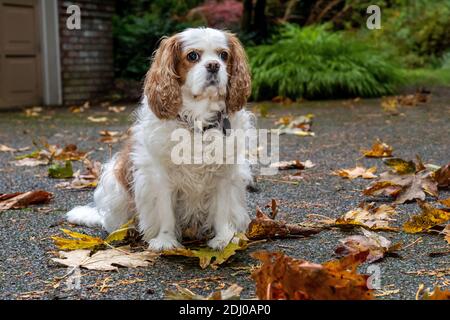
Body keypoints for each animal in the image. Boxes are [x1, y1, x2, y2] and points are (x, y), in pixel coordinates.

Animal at [67, 27, 256, 251]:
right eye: (193, 56)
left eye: (223, 55)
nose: (213, 65)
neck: (197, 121)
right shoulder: (159, 177)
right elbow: (165, 212)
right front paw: (165, 240)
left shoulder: (225, 174)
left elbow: (222, 211)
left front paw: (224, 239)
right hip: (114, 184)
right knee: (112, 222)